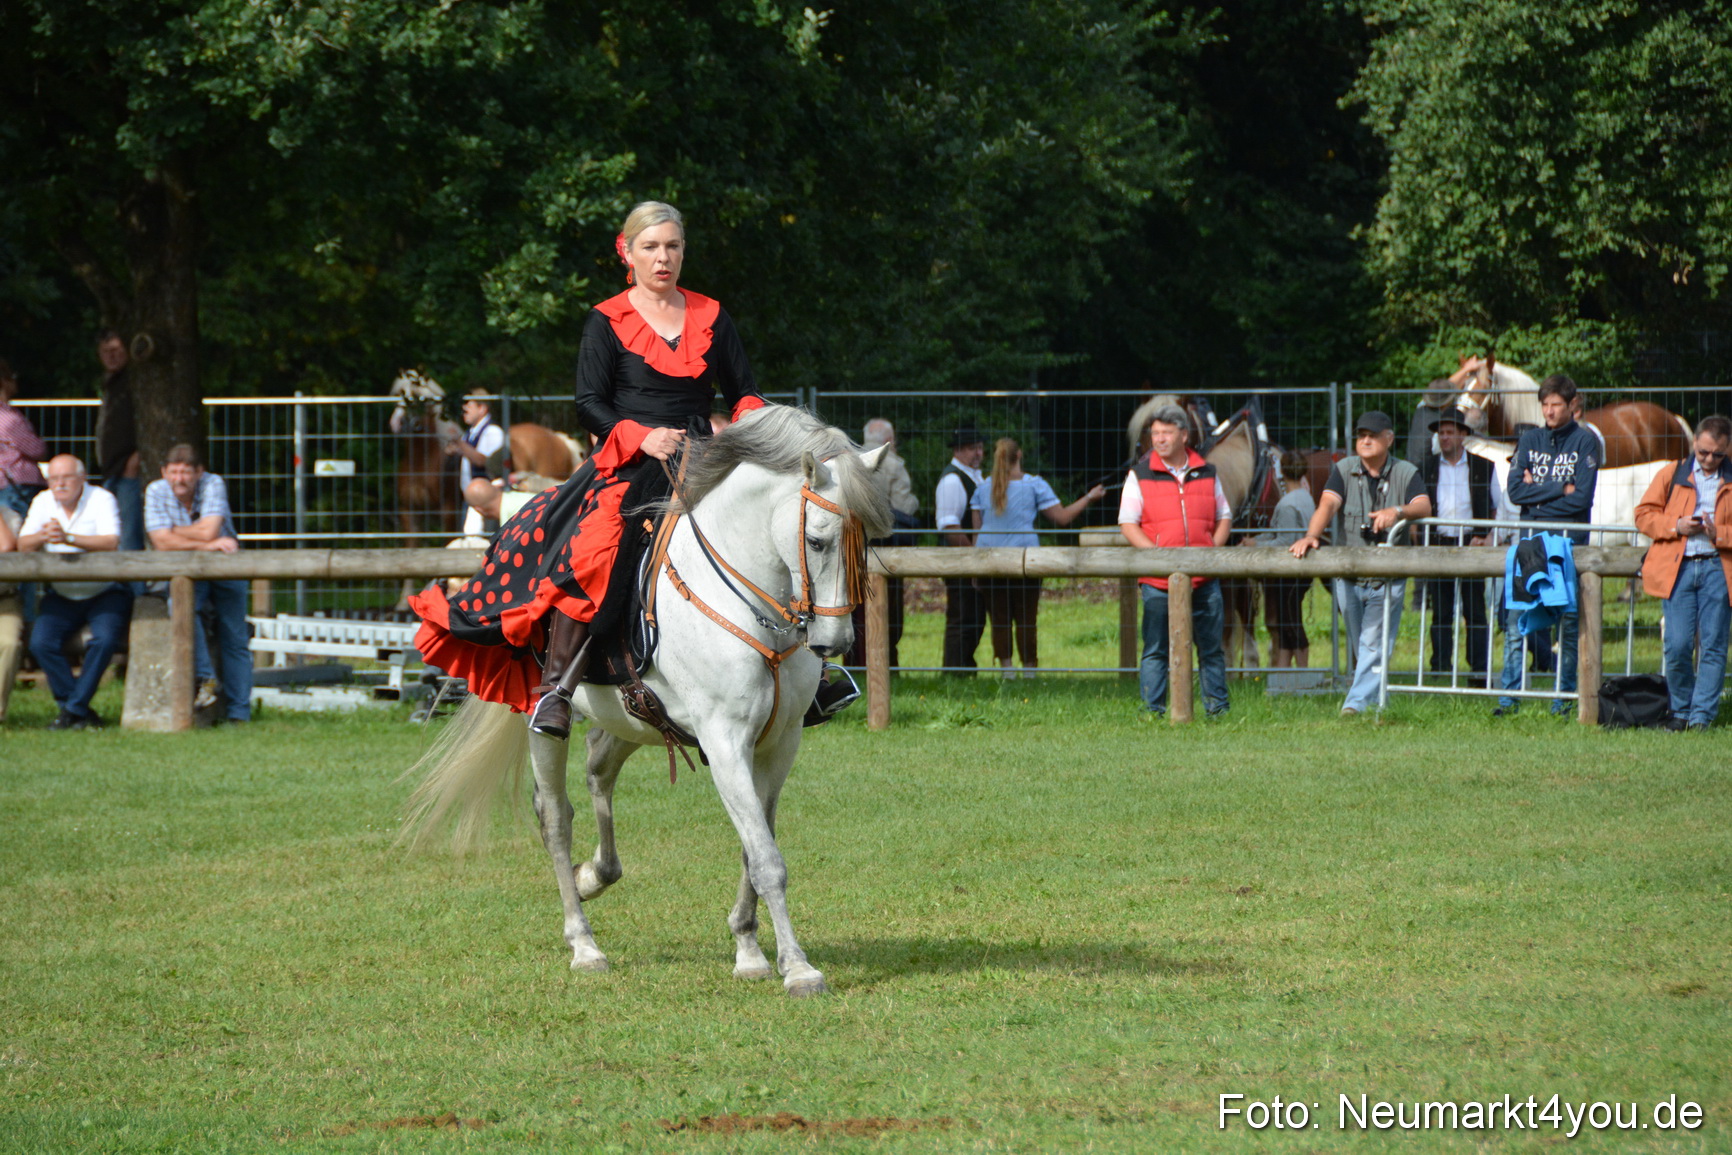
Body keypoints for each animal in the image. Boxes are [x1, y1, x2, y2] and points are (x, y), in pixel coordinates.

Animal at [401, 405, 892, 996]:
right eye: (817, 541)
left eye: (866, 540)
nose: (833, 642)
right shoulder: (725, 740)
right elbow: (767, 859)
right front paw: (797, 968)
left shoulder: (779, 744)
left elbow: (755, 847)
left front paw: (749, 950)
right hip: (543, 715)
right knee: (555, 816)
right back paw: (583, 943)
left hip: (630, 716)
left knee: (598, 772)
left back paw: (594, 876)